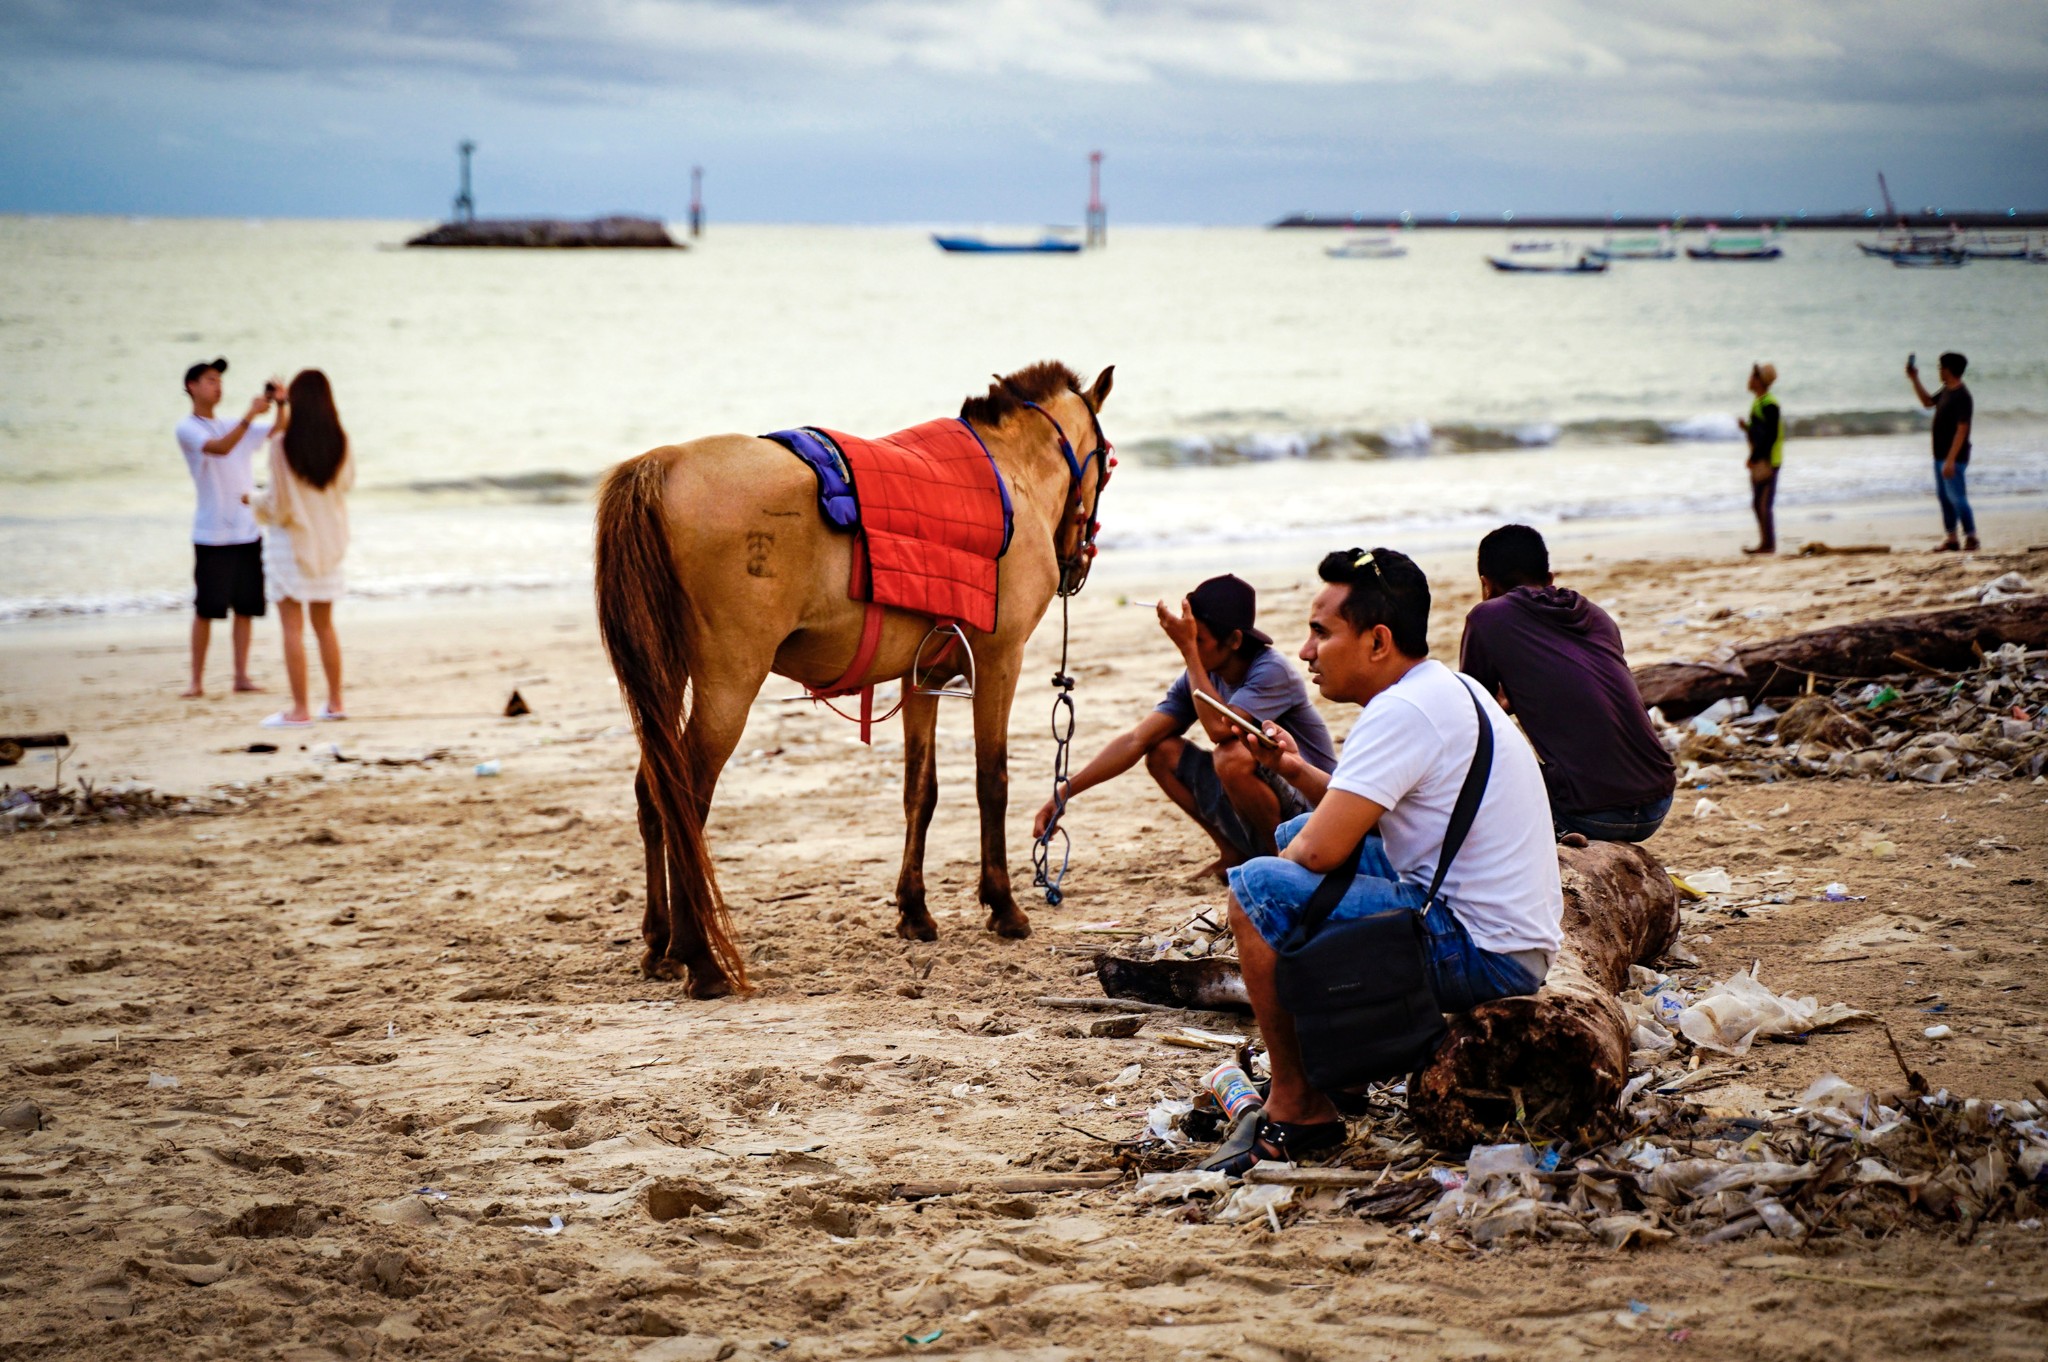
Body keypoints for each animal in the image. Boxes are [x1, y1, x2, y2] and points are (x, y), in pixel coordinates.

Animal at [593, 360, 1114, 999]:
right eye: (1108, 461)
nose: (1078, 562)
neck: (1009, 475)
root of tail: (663, 464)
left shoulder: (924, 677)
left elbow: (921, 791)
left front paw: (914, 911)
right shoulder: (999, 662)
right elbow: (991, 781)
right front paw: (1003, 906)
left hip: (665, 678)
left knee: (653, 790)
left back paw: (661, 945)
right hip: (729, 683)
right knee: (685, 797)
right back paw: (702, 962)